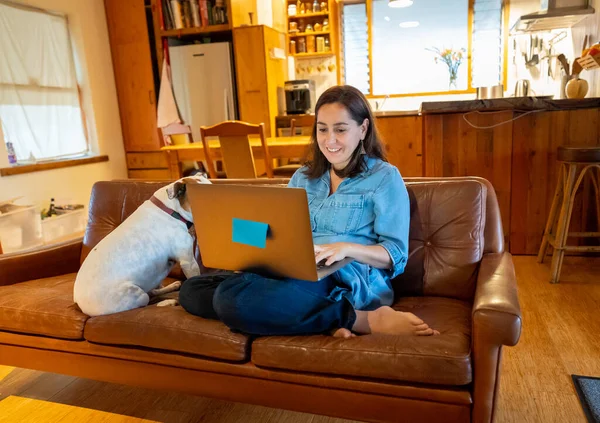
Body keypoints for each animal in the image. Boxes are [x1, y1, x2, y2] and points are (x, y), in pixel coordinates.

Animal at [73, 174, 211, 316]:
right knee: (145, 303)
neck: (171, 209)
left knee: (152, 291)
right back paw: (166, 302)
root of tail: (78, 302)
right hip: (135, 295)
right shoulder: (188, 262)